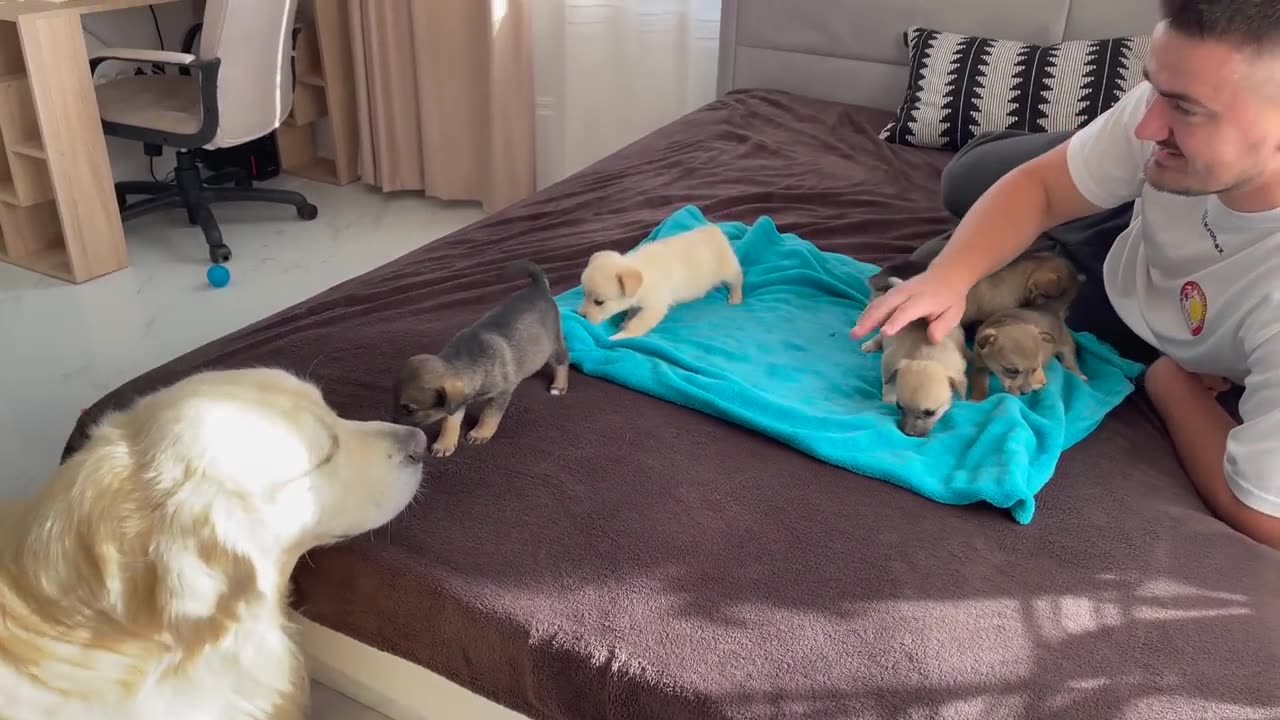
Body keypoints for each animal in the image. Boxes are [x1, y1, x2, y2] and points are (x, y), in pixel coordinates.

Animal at [391, 260, 568, 456]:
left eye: (410, 409)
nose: (394, 427)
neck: (464, 361)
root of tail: (538, 288)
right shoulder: (457, 403)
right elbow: (450, 421)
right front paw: (445, 443)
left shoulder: (501, 394)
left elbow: (489, 415)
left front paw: (480, 433)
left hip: (553, 345)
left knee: (562, 362)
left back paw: (559, 386)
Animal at [578, 222, 747, 338]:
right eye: (584, 294)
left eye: (599, 302)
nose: (580, 315)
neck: (641, 275)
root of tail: (713, 230)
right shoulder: (637, 302)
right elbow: (633, 311)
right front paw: (626, 319)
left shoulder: (655, 307)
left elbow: (638, 324)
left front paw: (620, 336)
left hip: (727, 268)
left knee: (737, 277)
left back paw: (735, 296)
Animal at [860, 280, 967, 438]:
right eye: (899, 406)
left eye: (930, 413)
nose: (908, 434)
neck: (927, 354)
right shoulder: (889, 360)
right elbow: (888, 382)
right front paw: (888, 397)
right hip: (887, 331)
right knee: (879, 337)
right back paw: (870, 345)